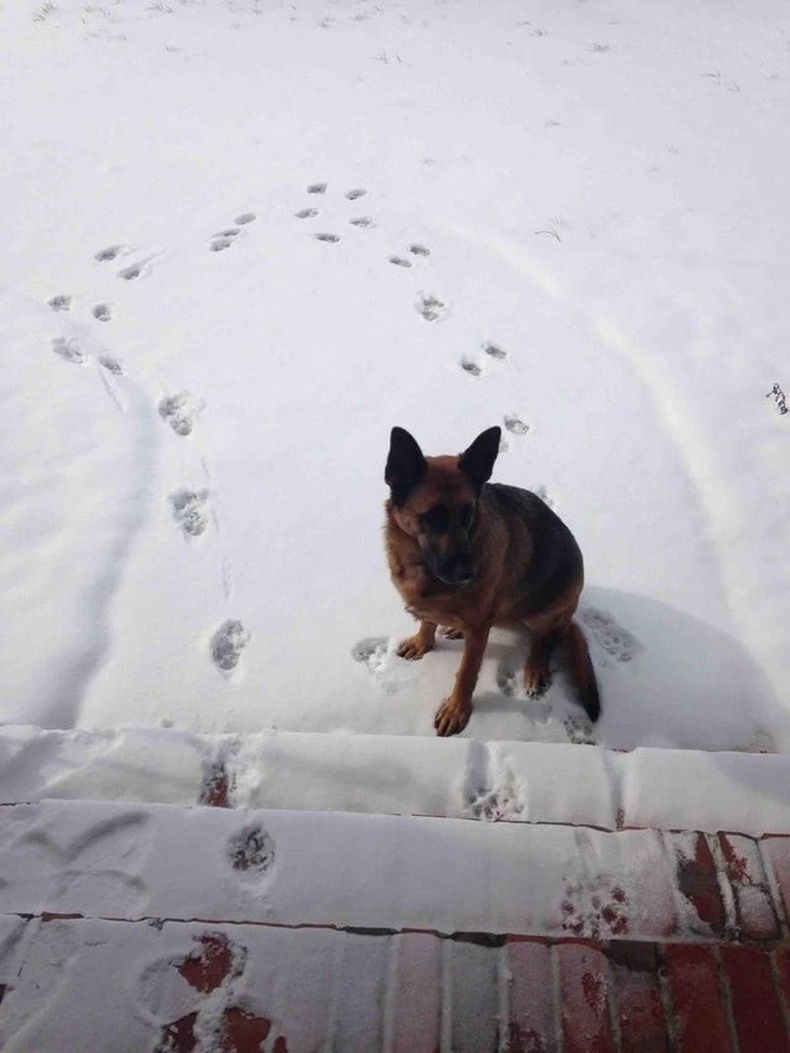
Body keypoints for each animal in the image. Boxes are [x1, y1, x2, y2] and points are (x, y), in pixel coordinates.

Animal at [383, 423, 598, 737]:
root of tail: (569, 616)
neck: (423, 568)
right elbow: (429, 621)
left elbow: (466, 674)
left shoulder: (477, 635)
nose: (468, 573)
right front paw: (423, 641)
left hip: (542, 613)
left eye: (468, 512)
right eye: (432, 516)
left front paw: (456, 711)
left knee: (545, 641)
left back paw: (535, 670)